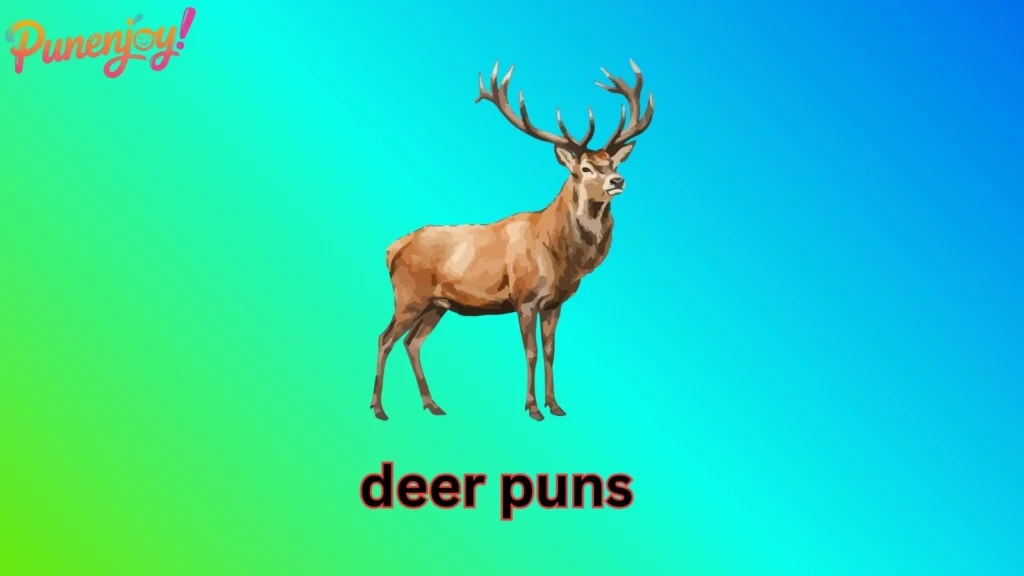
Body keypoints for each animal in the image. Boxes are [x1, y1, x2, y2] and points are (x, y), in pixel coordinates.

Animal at [371, 59, 654, 421]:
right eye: (586, 169)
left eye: (611, 162)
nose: (618, 181)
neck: (560, 255)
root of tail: (391, 249)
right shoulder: (525, 297)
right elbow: (530, 352)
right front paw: (533, 408)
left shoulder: (556, 303)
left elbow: (550, 351)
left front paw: (556, 405)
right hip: (409, 295)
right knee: (385, 338)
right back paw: (379, 408)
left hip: (436, 305)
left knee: (413, 343)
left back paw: (432, 404)